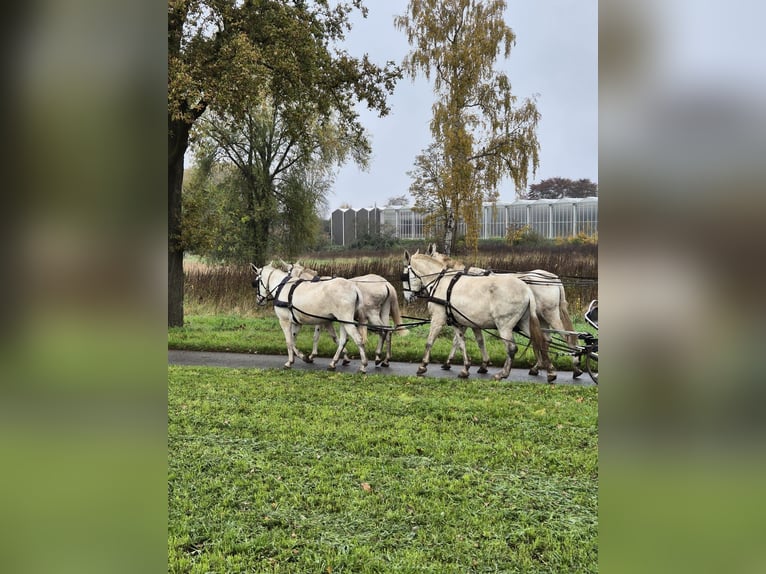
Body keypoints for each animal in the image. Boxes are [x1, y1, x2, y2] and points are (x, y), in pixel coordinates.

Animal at [402, 251, 560, 382]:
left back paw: (503, 374)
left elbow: (430, 342)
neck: (441, 282)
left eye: (404, 276)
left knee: (512, 348)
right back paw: (550, 371)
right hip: (524, 322)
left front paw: (423, 366)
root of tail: (527, 289)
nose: (408, 297)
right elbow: (463, 343)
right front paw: (466, 368)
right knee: (541, 341)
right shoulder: (460, 322)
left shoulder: (438, 319)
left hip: (505, 325)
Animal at [426, 245, 584, 380]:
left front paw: (451, 362)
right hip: (540, 318)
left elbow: (458, 340)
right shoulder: (470, 320)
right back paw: (538, 367)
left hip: (550, 315)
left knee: (567, 337)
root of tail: (554, 278)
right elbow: (474, 341)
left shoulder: (465, 318)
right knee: (545, 339)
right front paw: (480, 364)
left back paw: (575, 366)